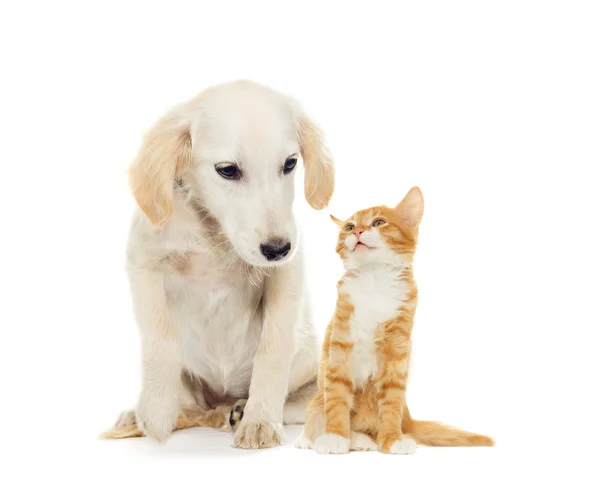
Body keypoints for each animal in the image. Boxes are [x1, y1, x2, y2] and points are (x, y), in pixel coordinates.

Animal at [113, 81, 332, 450]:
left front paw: (259, 420)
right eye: (228, 170)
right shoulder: (143, 263)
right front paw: (156, 411)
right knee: (191, 405)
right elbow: (160, 339)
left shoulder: (287, 273)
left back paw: (242, 411)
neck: (215, 233)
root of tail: (218, 403)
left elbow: (273, 349)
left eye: (290, 163)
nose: (278, 249)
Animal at [294, 187, 492, 454]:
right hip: (317, 400)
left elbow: (391, 402)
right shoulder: (340, 345)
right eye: (349, 226)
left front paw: (391, 439)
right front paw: (335, 436)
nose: (357, 232)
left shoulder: (397, 350)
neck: (374, 280)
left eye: (378, 222)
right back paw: (318, 438)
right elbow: (336, 397)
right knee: (317, 413)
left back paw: (366, 440)